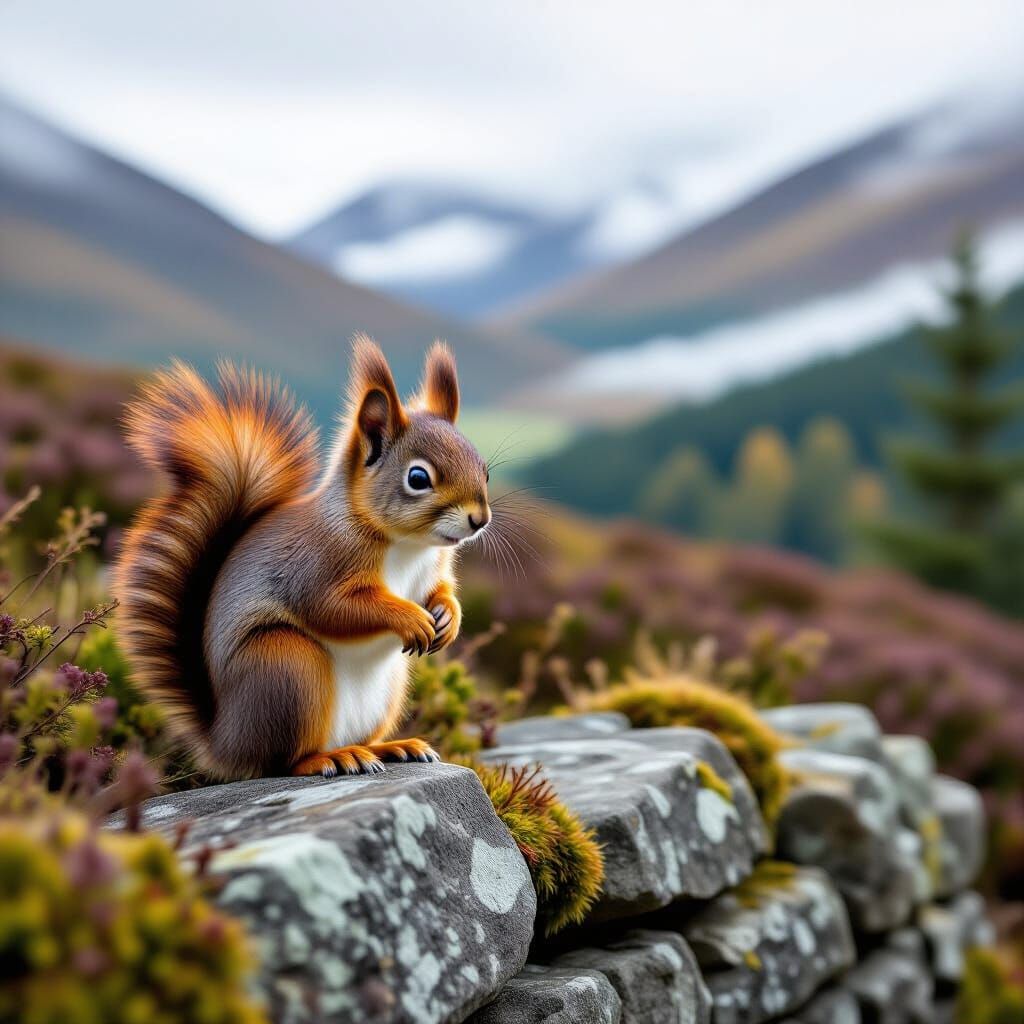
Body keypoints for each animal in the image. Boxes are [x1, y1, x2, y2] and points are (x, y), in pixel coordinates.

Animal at [113, 336, 490, 780]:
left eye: (484, 469)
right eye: (418, 478)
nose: (480, 519)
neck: (407, 544)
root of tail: (224, 742)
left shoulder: (433, 569)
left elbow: (441, 591)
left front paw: (449, 617)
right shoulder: (315, 565)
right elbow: (335, 607)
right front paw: (409, 617)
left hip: (388, 687)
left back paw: (392, 747)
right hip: (288, 664)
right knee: (283, 761)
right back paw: (331, 758)